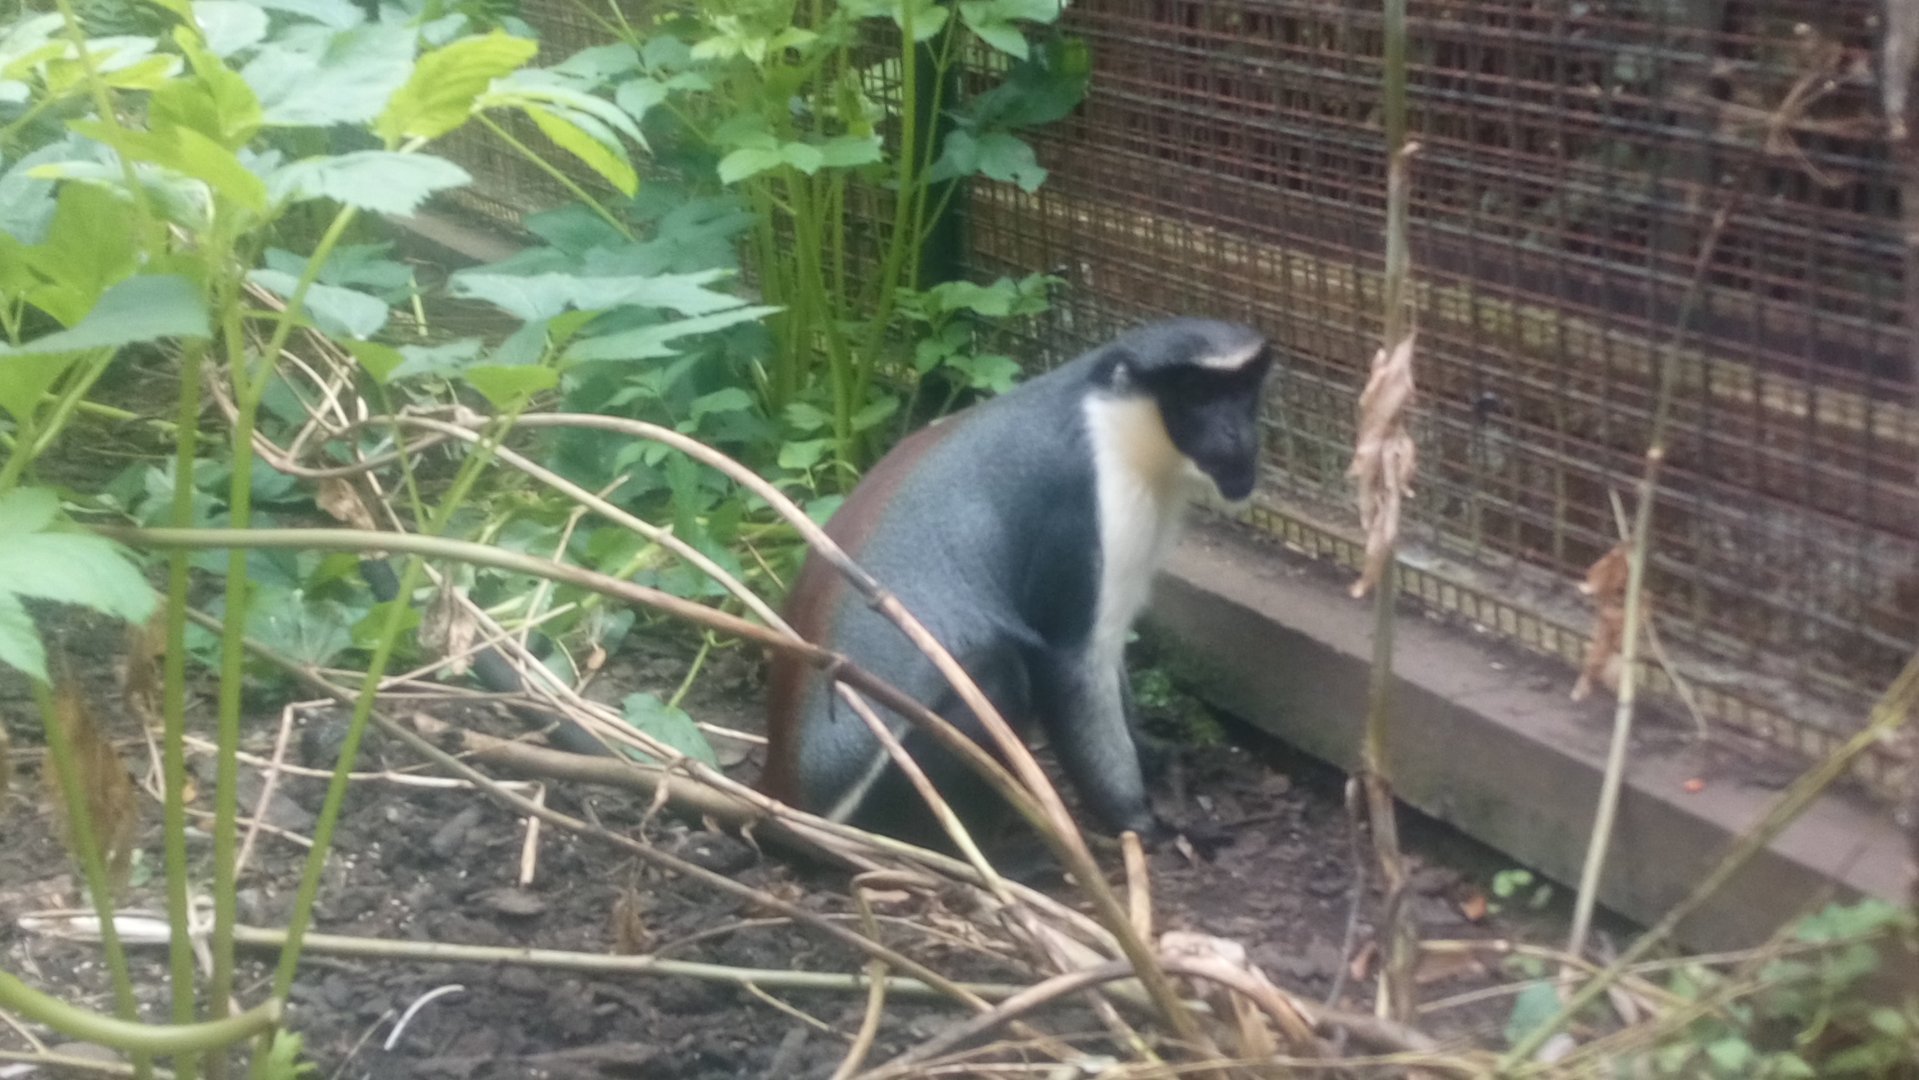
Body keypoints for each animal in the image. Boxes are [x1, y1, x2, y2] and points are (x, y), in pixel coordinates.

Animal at [762, 318, 1273, 848]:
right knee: (995, 673)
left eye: (1242, 391)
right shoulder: (1085, 514)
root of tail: (785, 797)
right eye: (1195, 393)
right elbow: (1073, 667)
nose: (1236, 433)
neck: (1113, 417)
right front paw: (1136, 821)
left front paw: (1150, 756)